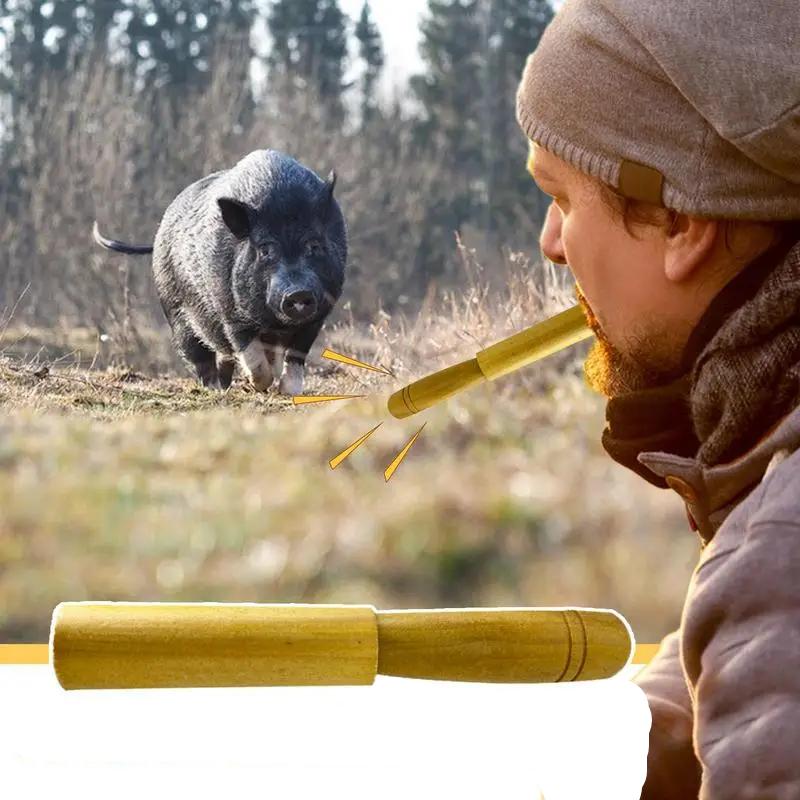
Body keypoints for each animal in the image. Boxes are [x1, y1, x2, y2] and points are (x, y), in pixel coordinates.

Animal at [92, 149, 347, 395]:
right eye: (265, 249)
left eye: (314, 246)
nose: (298, 292)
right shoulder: (230, 313)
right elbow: (250, 353)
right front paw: (259, 385)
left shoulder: (318, 316)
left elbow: (296, 354)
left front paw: (287, 391)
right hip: (175, 311)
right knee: (200, 357)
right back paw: (215, 389)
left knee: (226, 356)